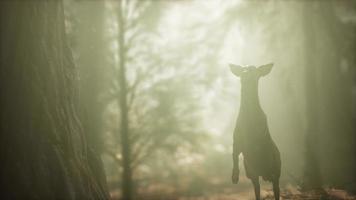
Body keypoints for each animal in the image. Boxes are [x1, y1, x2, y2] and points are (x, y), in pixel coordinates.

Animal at [229, 63, 282, 200]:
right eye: (243, 69)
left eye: (254, 70)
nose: (245, 73)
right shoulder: (236, 140)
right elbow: (234, 155)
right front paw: (234, 177)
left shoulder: (260, 137)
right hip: (253, 175)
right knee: (257, 190)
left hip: (277, 170)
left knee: (276, 189)